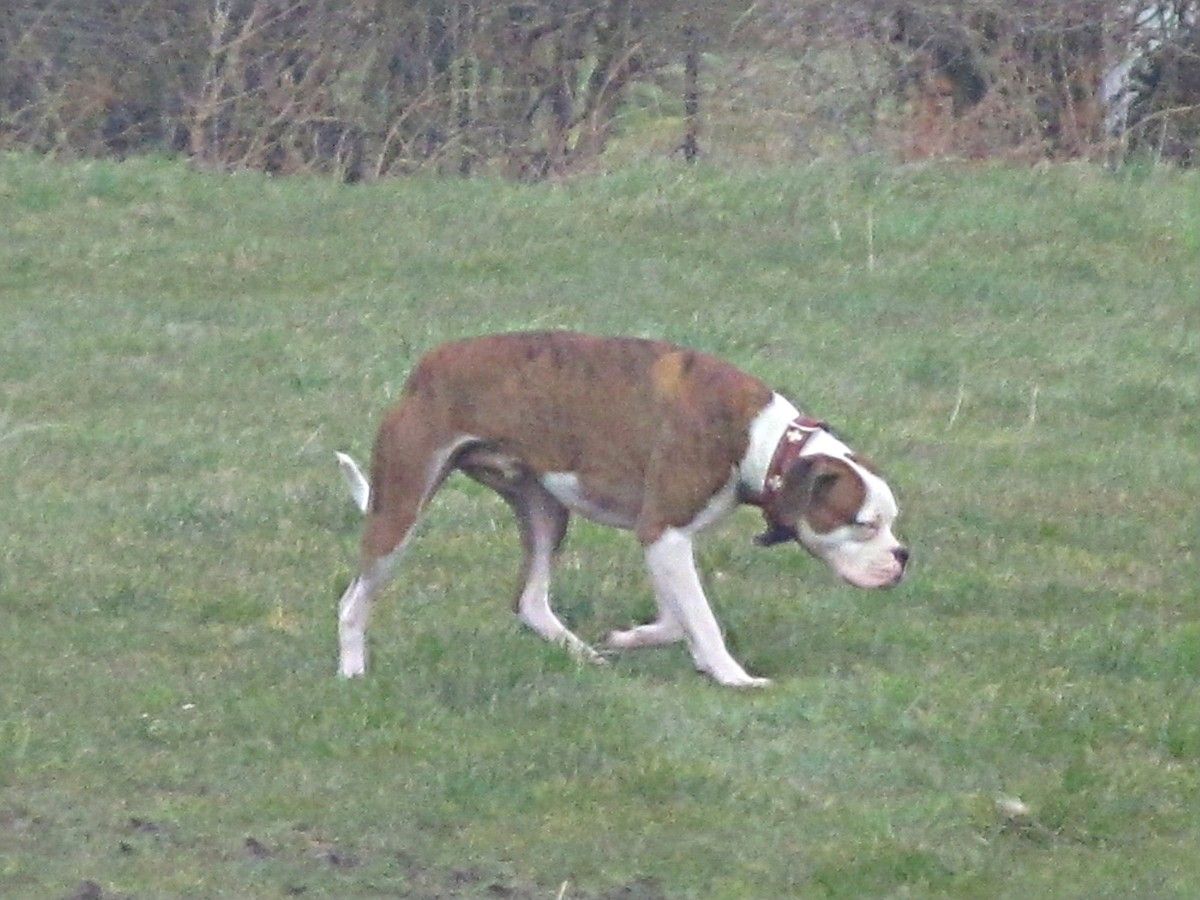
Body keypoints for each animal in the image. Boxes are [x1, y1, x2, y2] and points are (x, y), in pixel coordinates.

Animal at [335, 331, 907, 688]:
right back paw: (352, 671)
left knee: (532, 601)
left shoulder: (664, 542)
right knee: (352, 602)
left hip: (545, 511)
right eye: (864, 524)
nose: (903, 557)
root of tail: (424, 367)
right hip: (400, 513)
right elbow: (700, 617)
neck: (766, 442)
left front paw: (634, 639)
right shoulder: (664, 533)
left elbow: (678, 618)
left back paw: (585, 656)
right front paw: (733, 676)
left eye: (893, 523)